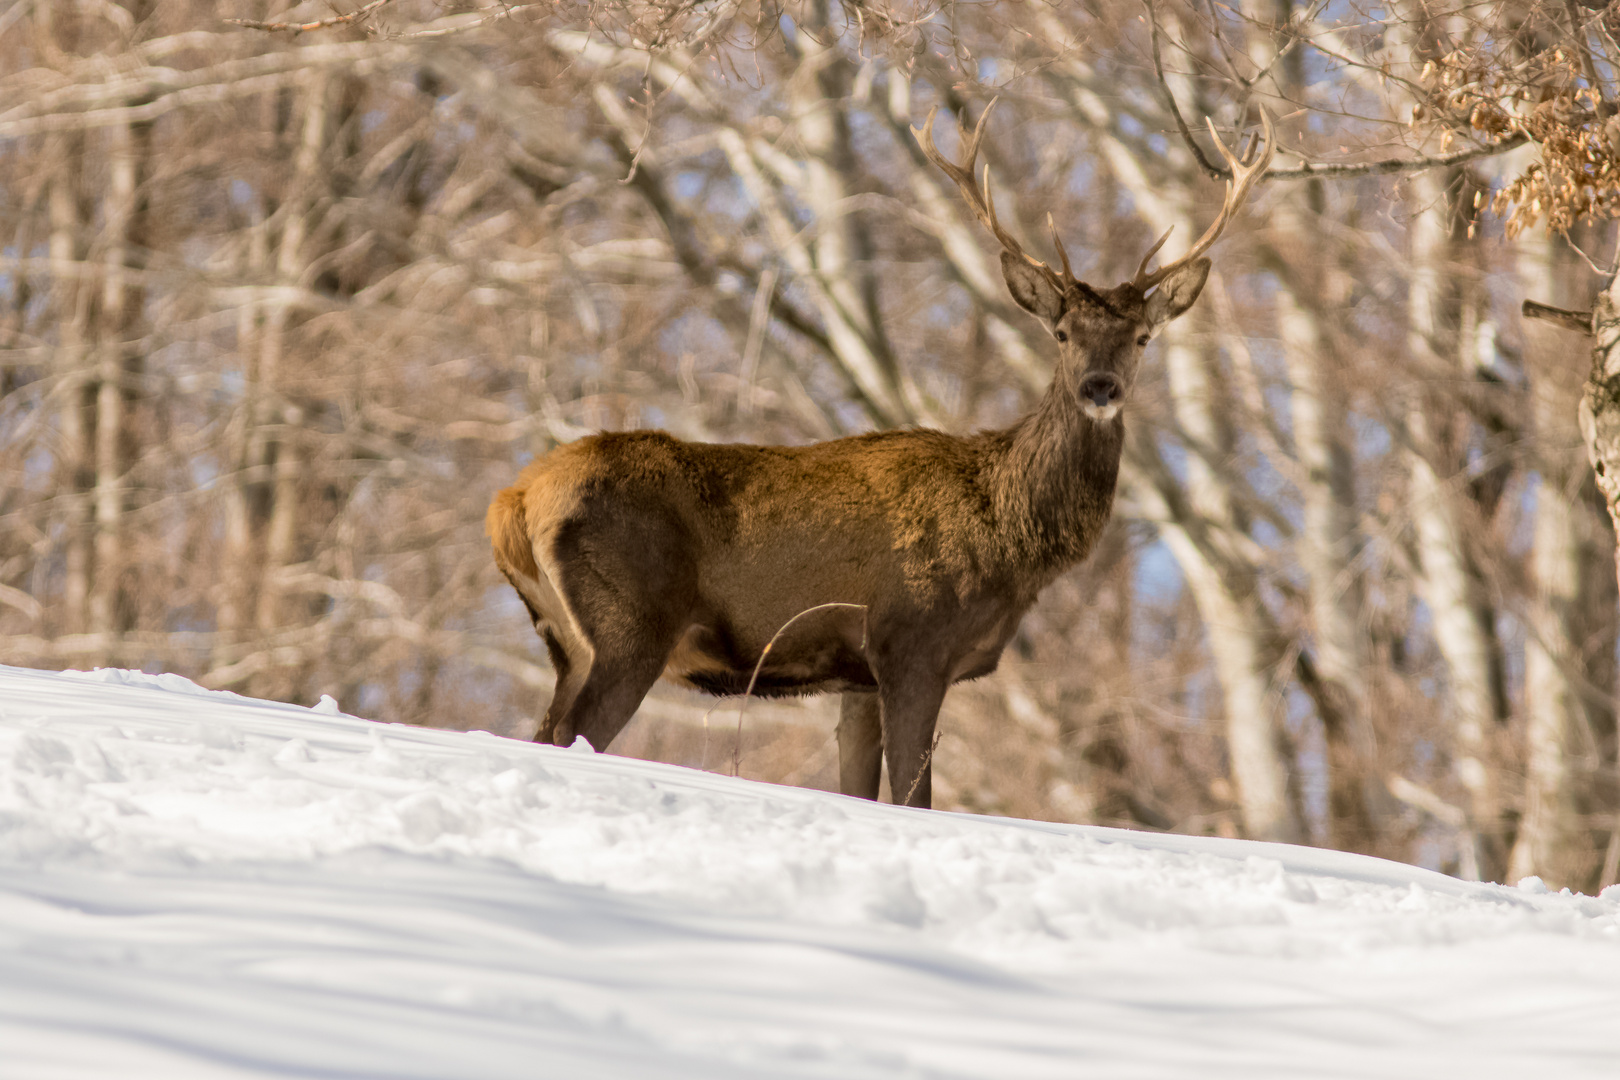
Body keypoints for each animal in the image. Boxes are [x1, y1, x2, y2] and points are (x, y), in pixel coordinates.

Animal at [486, 101, 1270, 806]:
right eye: (1063, 333)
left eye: (1141, 337)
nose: (1100, 386)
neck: (1013, 543)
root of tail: (512, 502)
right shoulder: (910, 642)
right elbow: (914, 797)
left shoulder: (857, 678)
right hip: (629, 622)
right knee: (571, 732)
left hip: (564, 639)